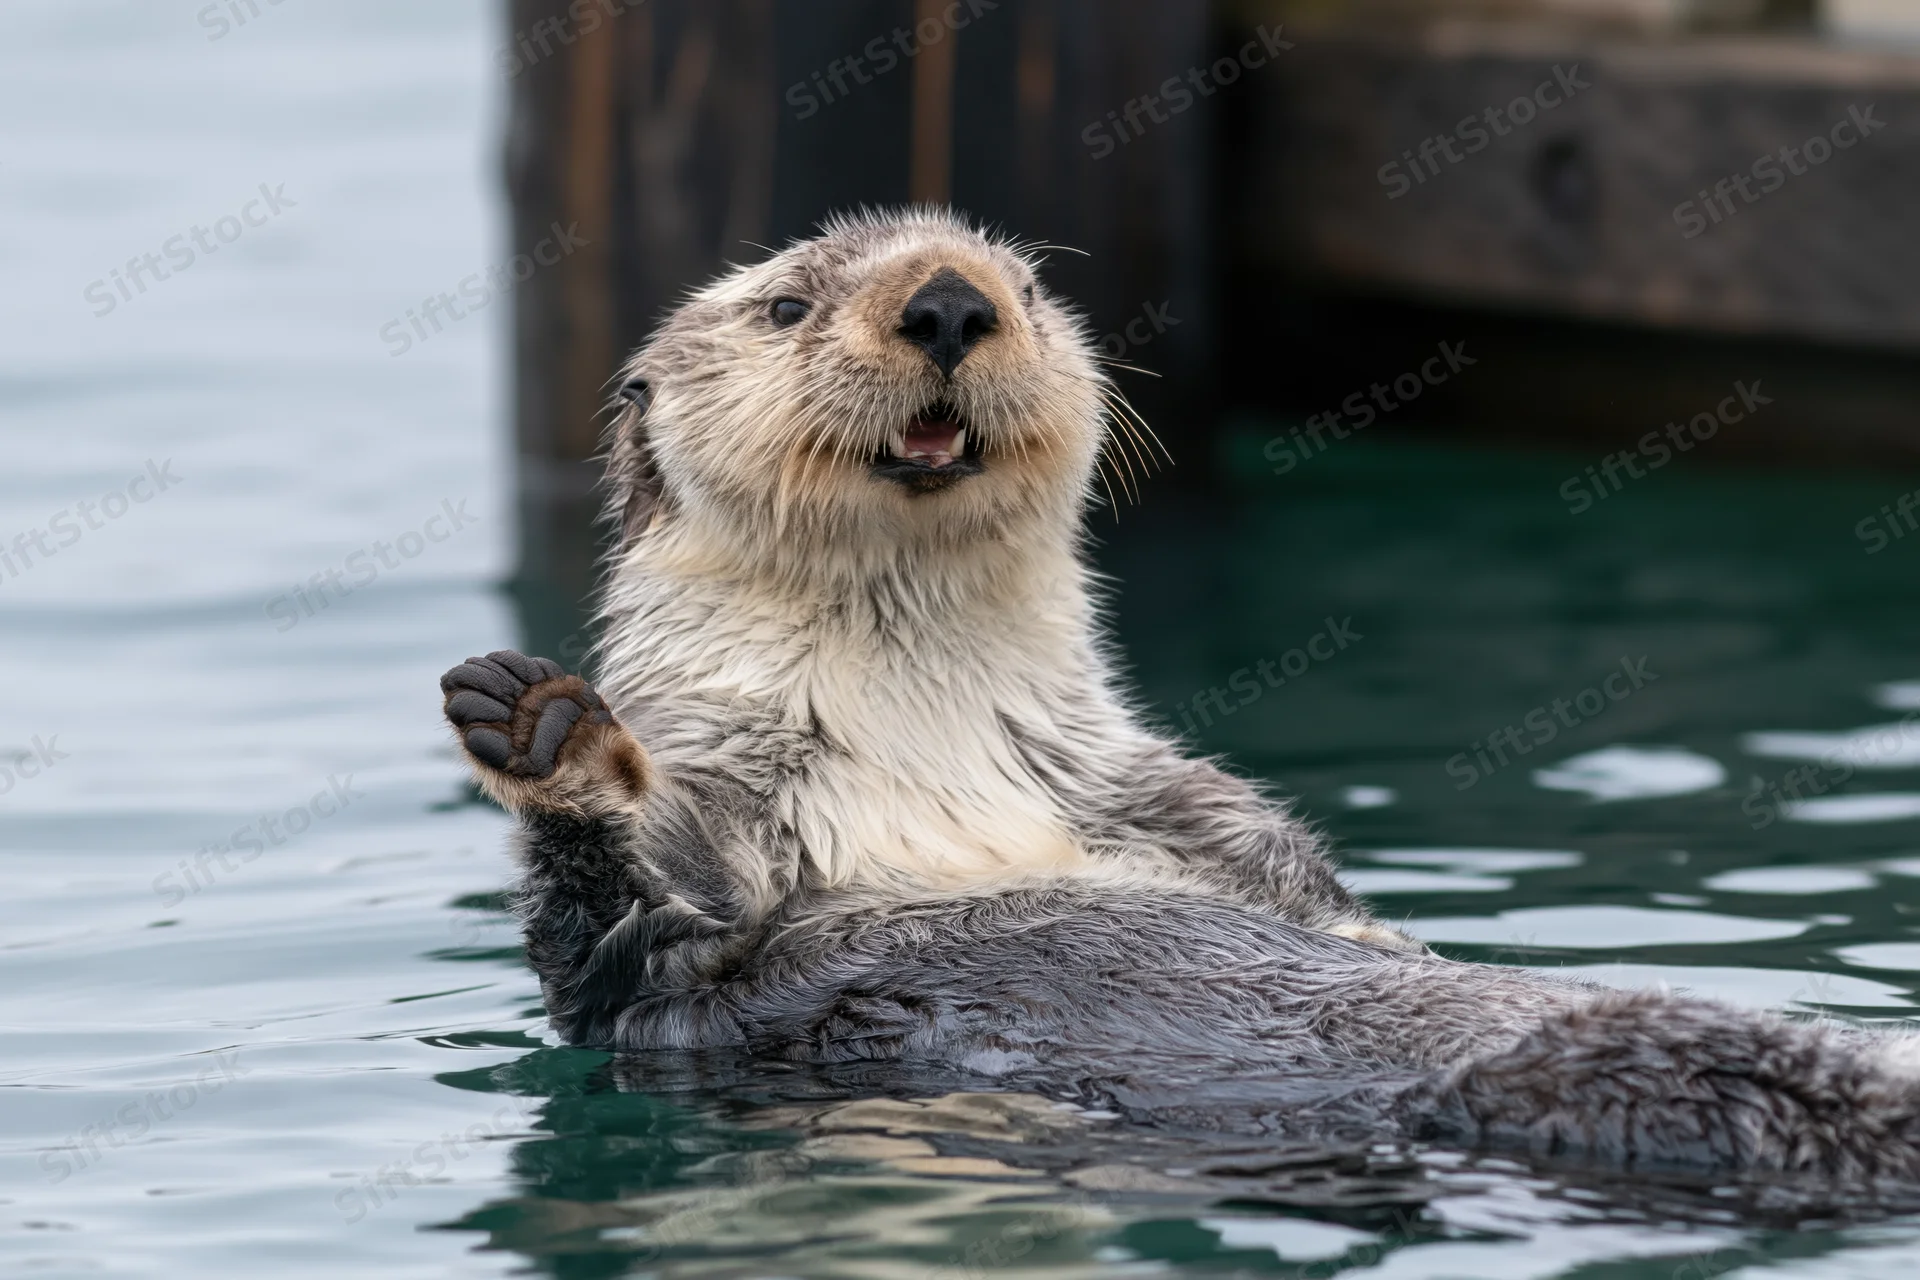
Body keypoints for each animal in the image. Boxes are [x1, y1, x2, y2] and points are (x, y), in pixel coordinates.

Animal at [442, 208, 1920, 1183]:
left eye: (1025, 287)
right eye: (786, 307)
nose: (950, 301)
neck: (923, 737)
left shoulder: (1149, 793)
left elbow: (1305, 888)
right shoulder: (705, 879)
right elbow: (607, 937)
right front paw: (543, 728)